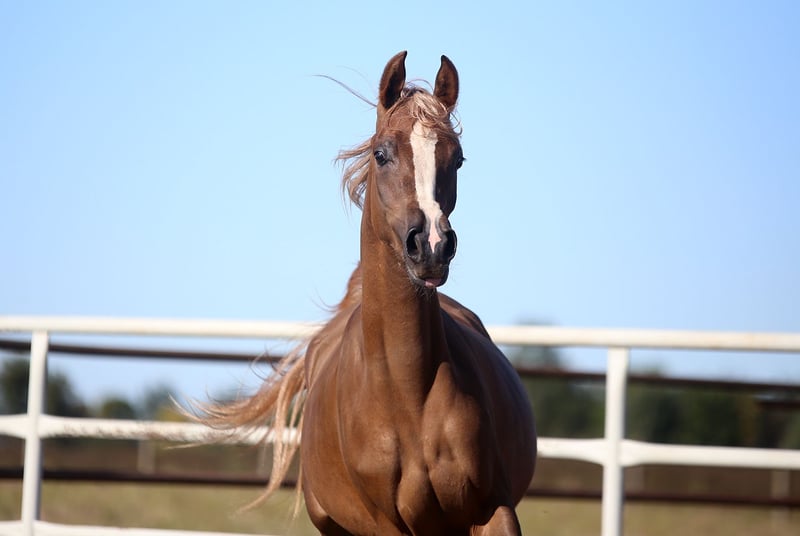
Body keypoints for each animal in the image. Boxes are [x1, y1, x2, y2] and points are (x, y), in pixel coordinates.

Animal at [200, 51, 537, 535]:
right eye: (381, 154)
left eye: (457, 158)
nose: (432, 246)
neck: (408, 397)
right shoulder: (386, 525)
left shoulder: (493, 509)